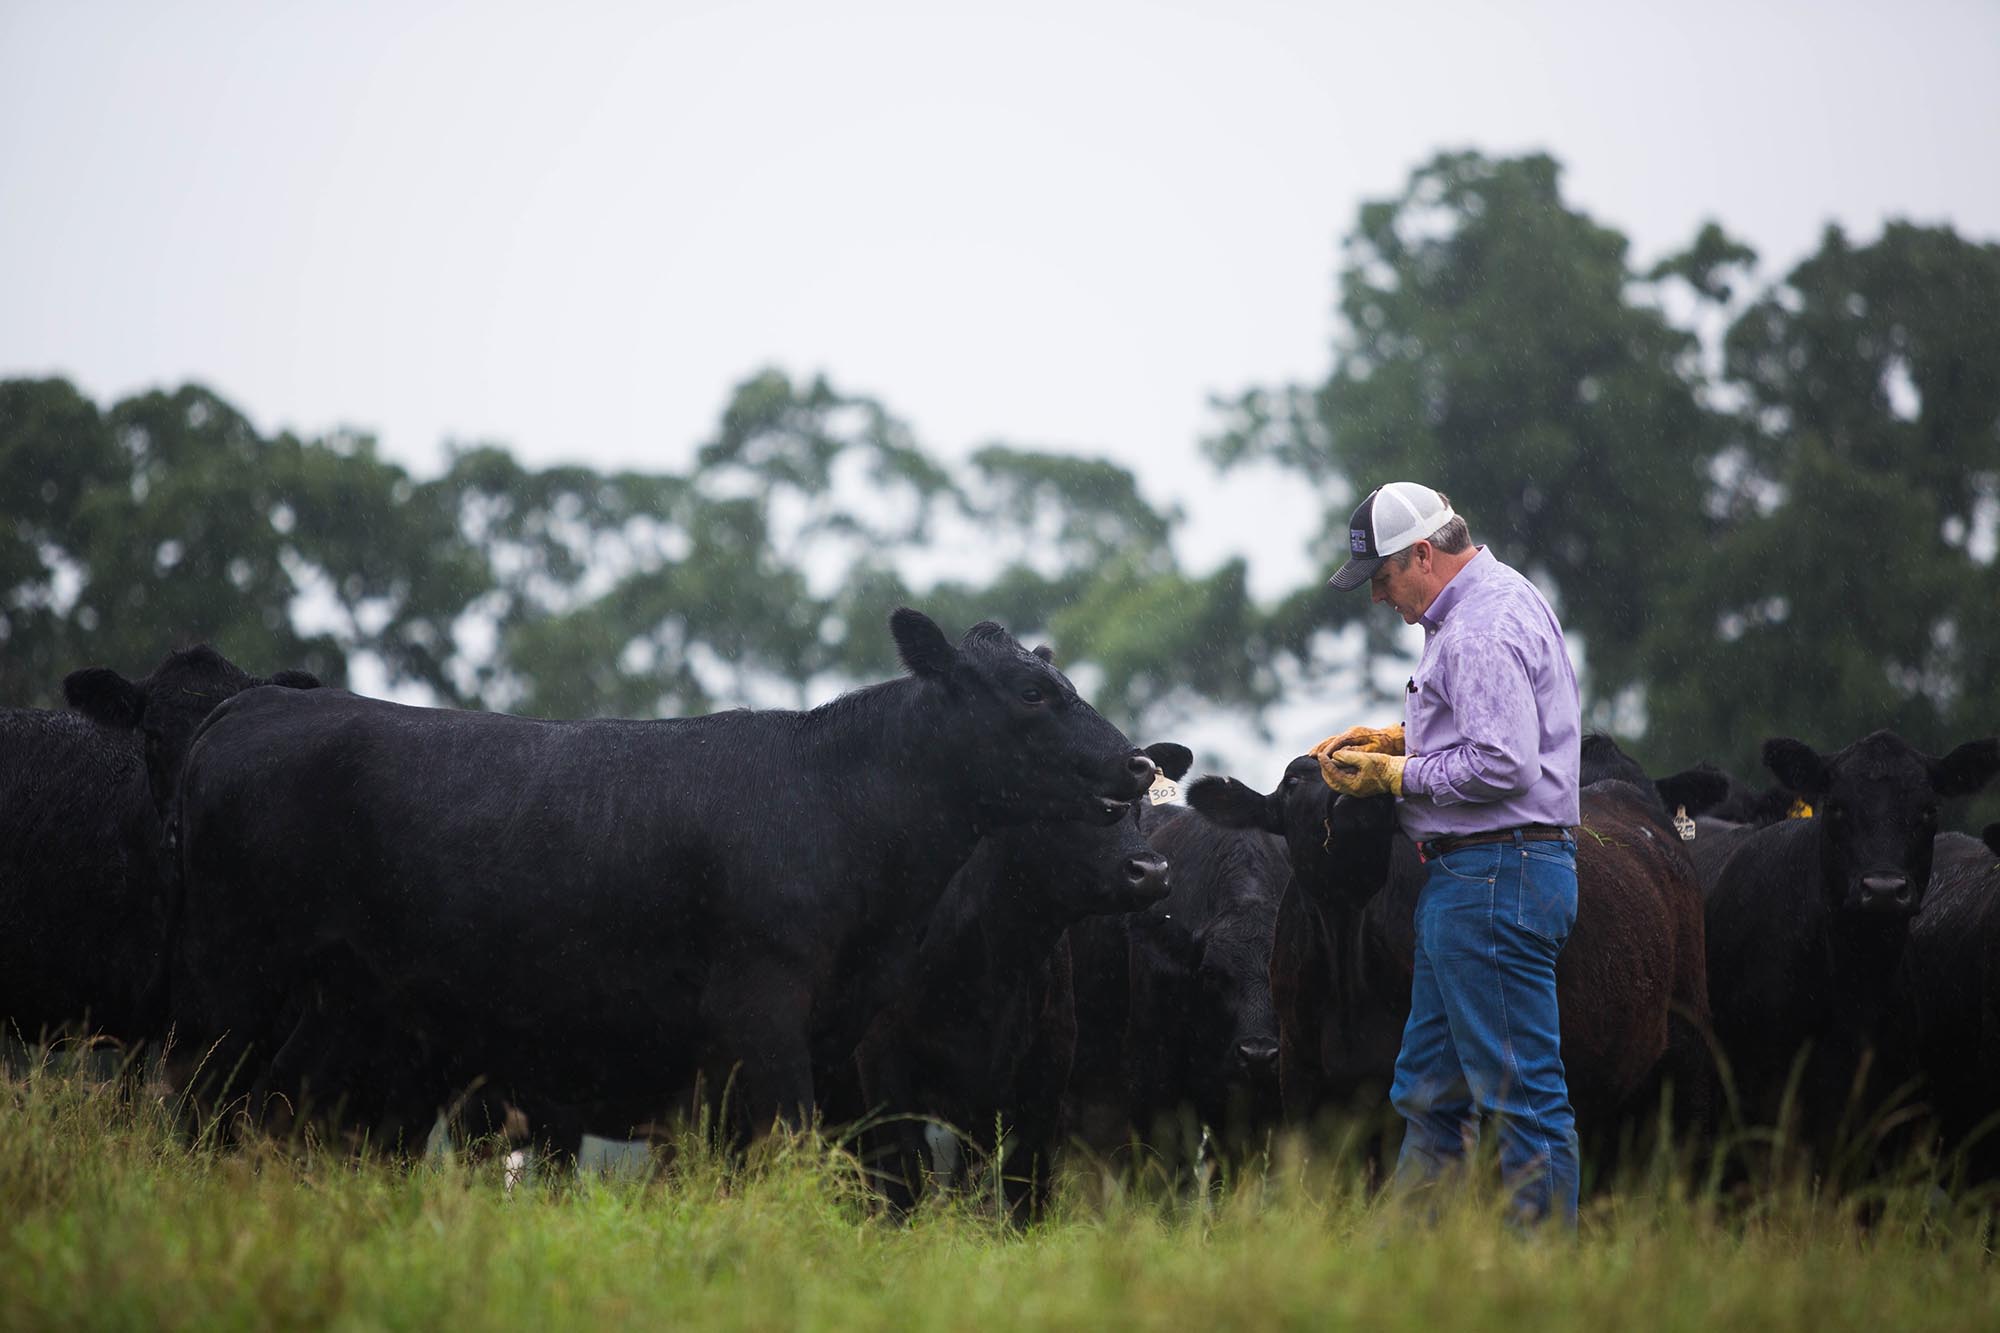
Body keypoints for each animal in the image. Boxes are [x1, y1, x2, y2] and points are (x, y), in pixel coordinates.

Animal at [133, 612, 1152, 1144]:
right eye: (1034, 694)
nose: (1140, 764)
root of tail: (251, 705)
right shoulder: (759, 1006)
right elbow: (782, 1140)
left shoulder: (828, 1029)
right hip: (229, 977)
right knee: (196, 1099)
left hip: (341, 1000)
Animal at [848, 736, 1184, 1216]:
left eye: (1140, 809)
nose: (1151, 872)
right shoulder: (883, 1056)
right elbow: (904, 1175)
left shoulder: (1046, 1065)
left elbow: (1026, 1182)